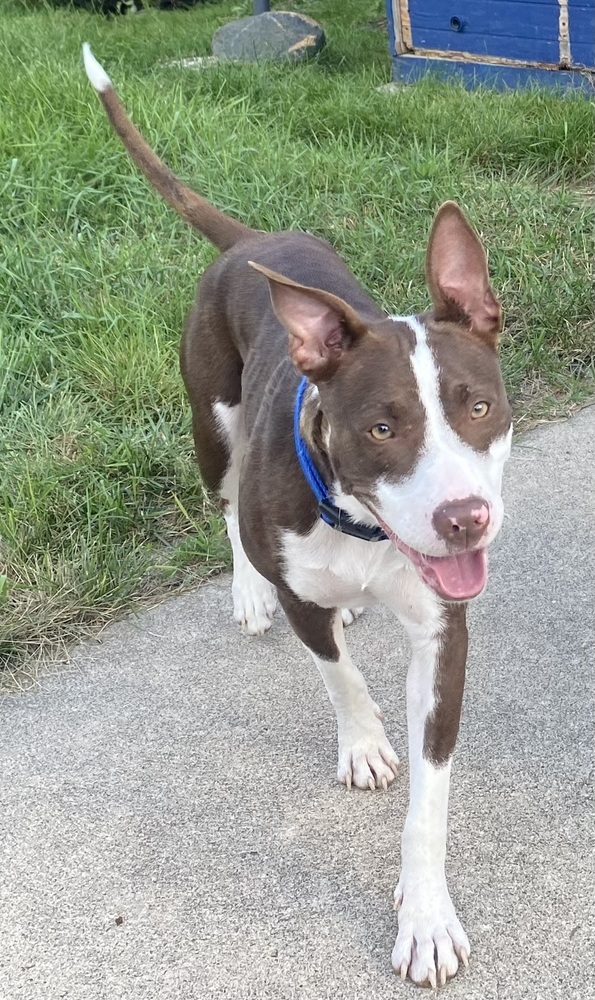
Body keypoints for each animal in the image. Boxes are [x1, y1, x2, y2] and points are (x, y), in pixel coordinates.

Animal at [82, 43, 512, 988]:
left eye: (477, 407)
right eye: (381, 428)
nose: (465, 519)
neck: (359, 527)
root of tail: (251, 242)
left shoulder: (443, 635)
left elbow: (429, 798)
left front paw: (425, 917)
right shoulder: (301, 576)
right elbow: (336, 674)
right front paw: (364, 743)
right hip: (210, 419)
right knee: (224, 500)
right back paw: (251, 592)